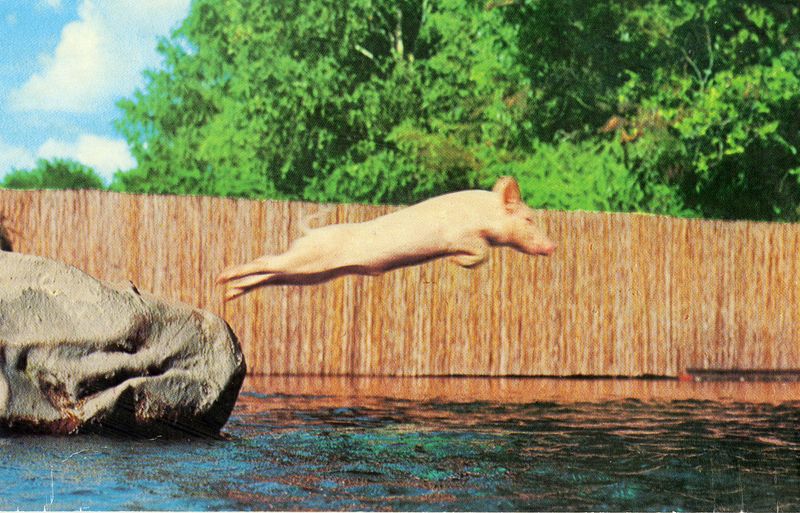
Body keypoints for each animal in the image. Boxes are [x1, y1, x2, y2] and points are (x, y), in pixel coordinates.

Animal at [217, 176, 555, 300]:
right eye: (528, 218)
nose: (553, 246)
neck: (482, 213)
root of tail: (311, 232)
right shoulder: (459, 234)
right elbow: (480, 250)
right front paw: (459, 261)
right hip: (308, 259)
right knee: (266, 260)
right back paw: (223, 278)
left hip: (309, 274)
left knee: (269, 274)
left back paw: (230, 294)